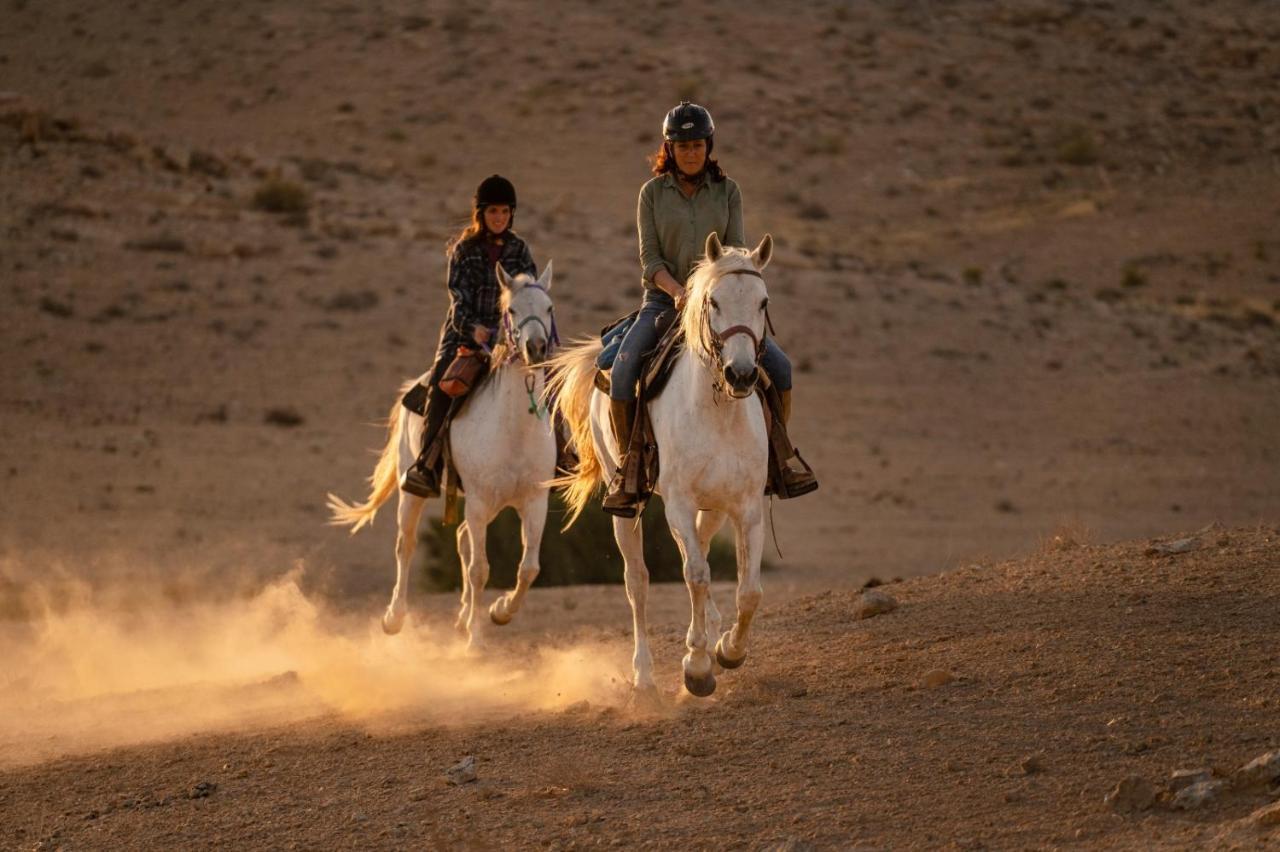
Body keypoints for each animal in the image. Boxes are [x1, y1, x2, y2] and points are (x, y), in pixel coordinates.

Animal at [327, 262, 558, 647]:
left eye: (549, 308)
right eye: (511, 310)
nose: (536, 347)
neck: (513, 430)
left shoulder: (533, 502)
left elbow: (529, 568)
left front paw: (500, 612)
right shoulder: (479, 501)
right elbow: (480, 569)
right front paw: (476, 641)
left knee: (463, 539)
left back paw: (463, 618)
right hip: (413, 492)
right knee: (406, 544)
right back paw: (394, 618)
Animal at [547, 232, 768, 695]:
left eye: (763, 302)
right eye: (713, 301)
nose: (740, 374)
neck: (718, 412)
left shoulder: (747, 507)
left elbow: (749, 590)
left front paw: (728, 649)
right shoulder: (679, 504)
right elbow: (696, 574)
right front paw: (697, 668)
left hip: (713, 508)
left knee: (701, 549)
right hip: (626, 510)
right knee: (639, 581)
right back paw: (644, 676)